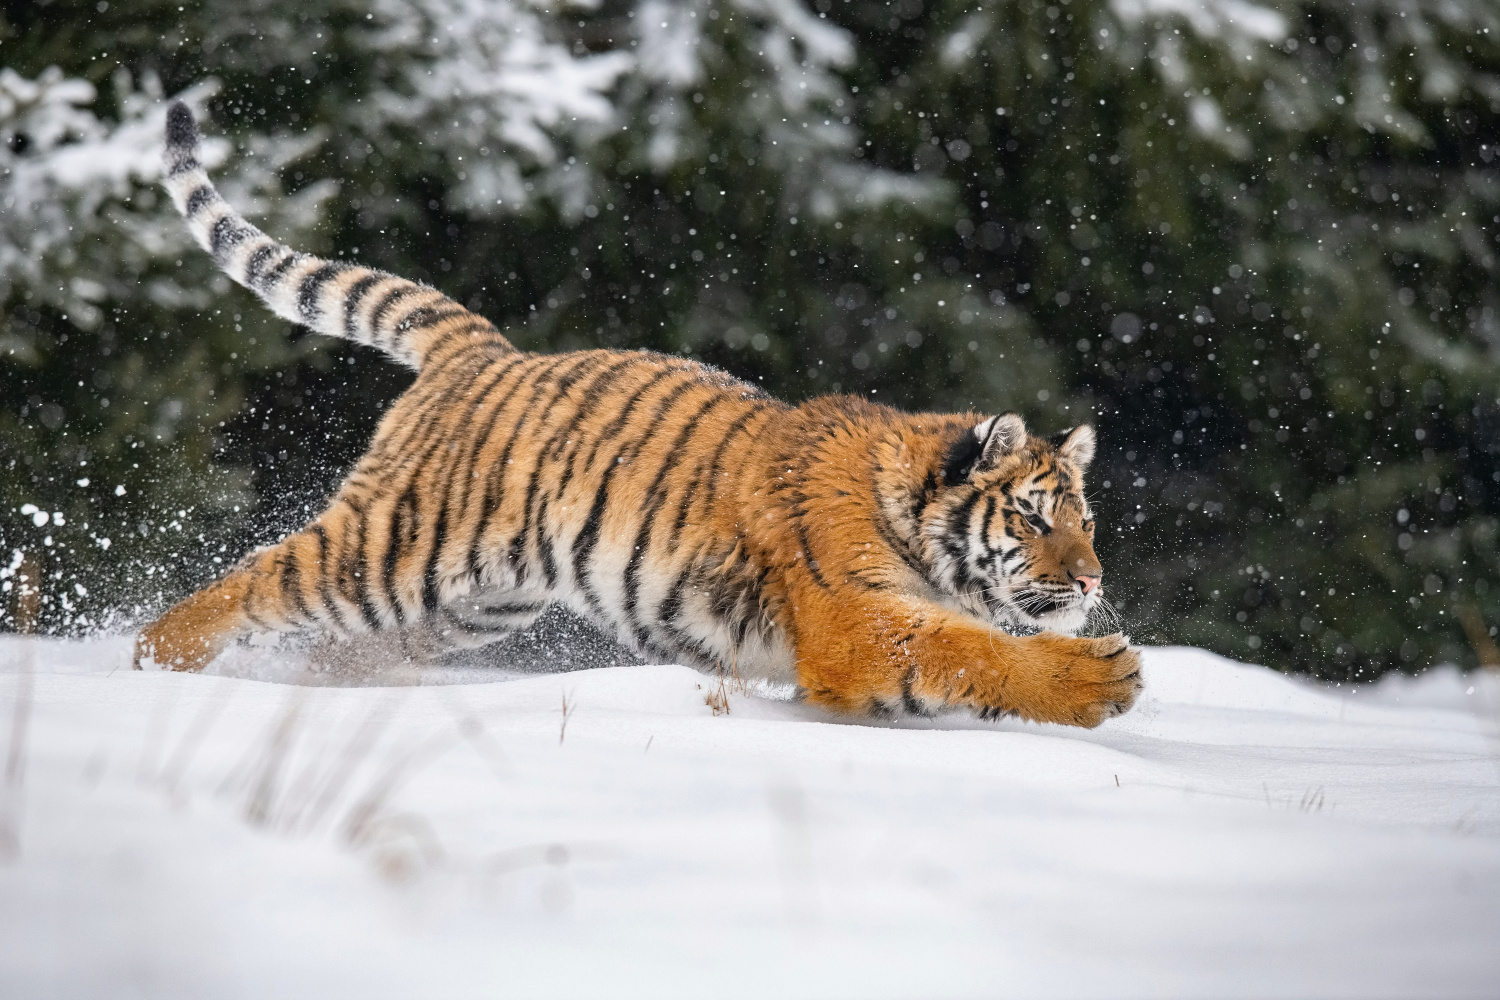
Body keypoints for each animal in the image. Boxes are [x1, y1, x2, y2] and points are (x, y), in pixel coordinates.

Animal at [143, 101, 1146, 728]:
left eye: (1089, 523)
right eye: (1033, 518)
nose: (1093, 581)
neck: (912, 516)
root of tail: (486, 349)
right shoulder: (858, 625)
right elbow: (975, 651)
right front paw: (1104, 674)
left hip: (473, 602)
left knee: (337, 652)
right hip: (393, 548)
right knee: (251, 585)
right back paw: (148, 666)